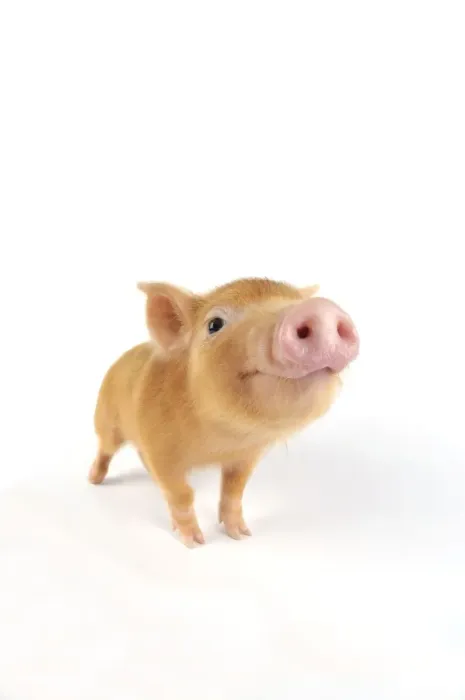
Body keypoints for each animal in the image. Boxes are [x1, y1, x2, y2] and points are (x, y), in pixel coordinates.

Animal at [89, 277, 359, 547]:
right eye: (214, 324)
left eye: (294, 300)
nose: (320, 310)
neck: (221, 441)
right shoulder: (161, 450)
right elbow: (182, 494)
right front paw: (195, 542)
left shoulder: (247, 455)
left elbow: (234, 490)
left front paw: (241, 534)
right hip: (106, 420)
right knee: (105, 449)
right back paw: (93, 479)